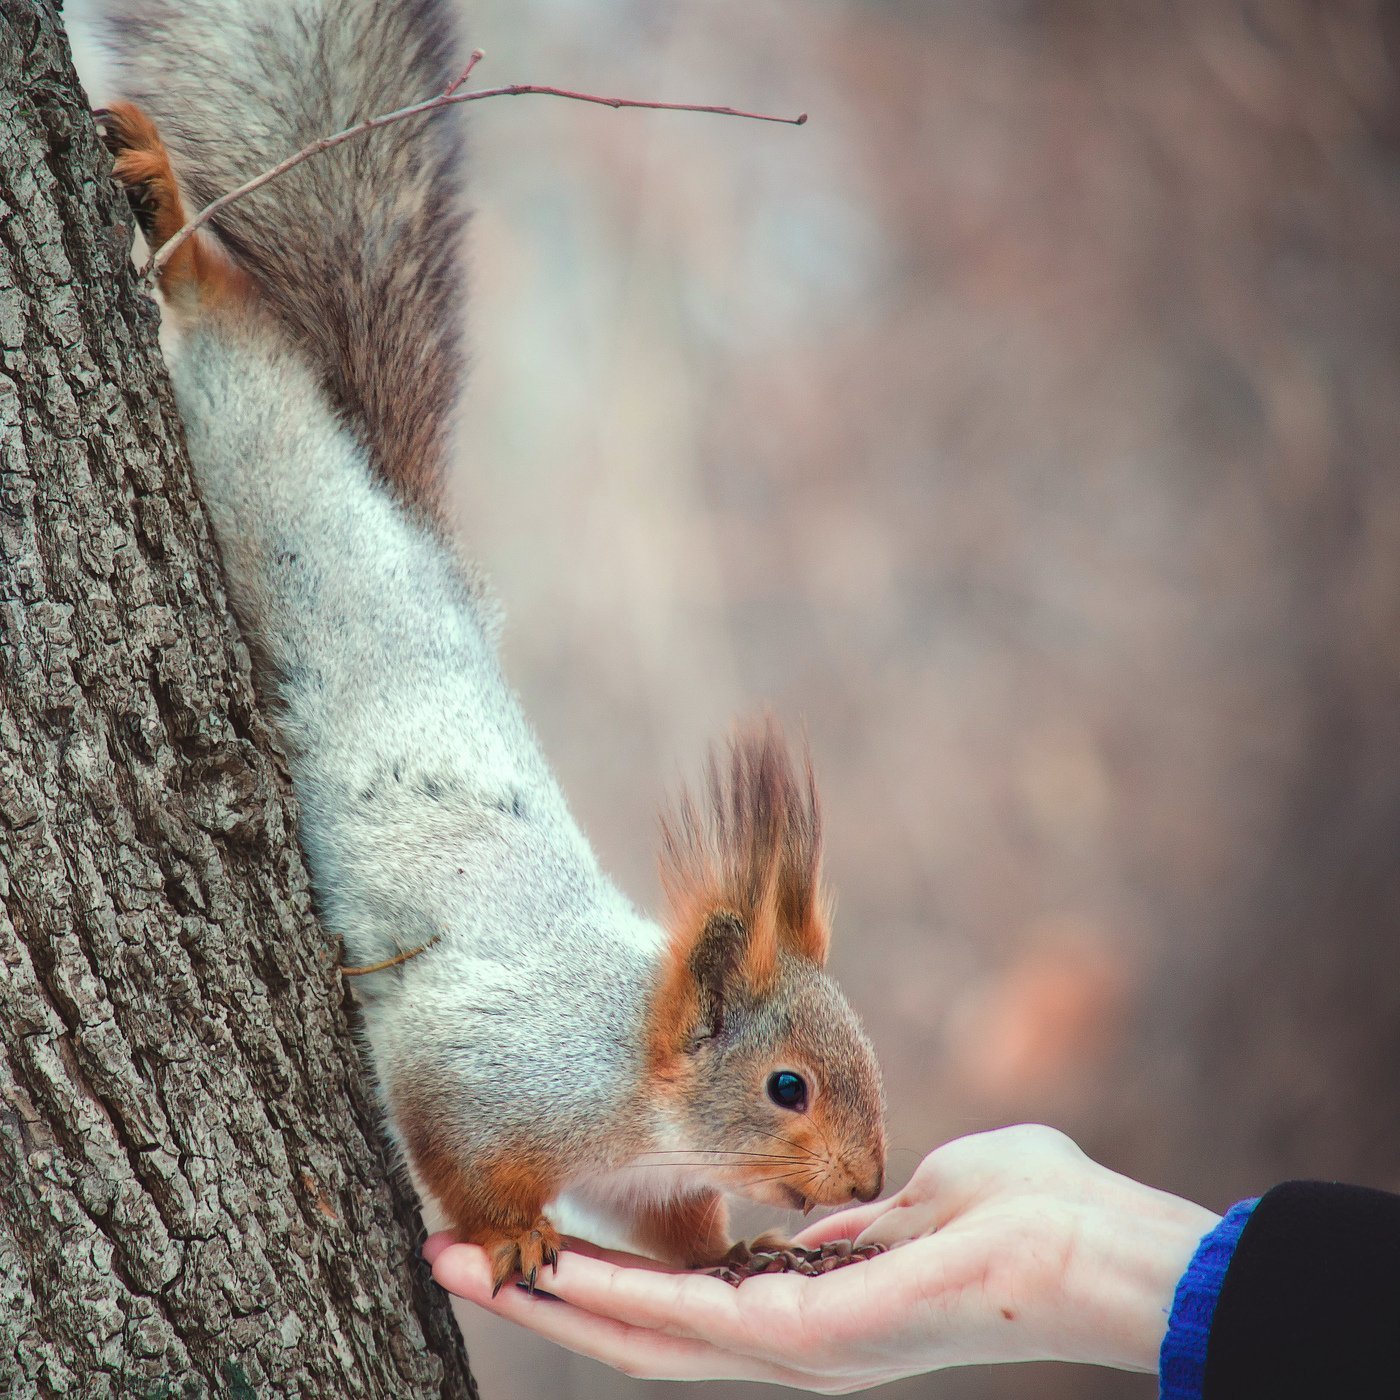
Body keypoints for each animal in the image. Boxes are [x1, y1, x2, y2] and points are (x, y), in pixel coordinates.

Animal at [73, 0, 884, 1293]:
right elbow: (453, 1147)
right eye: (786, 1086)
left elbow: (677, 1232)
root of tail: (407, 541)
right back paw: (171, 219)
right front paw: (510, 1234)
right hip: (264, 480)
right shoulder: (482, 1064)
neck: (630, 1071)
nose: (867, 1181)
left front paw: (740, 1255)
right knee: (239, 350)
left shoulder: (646, 1182)